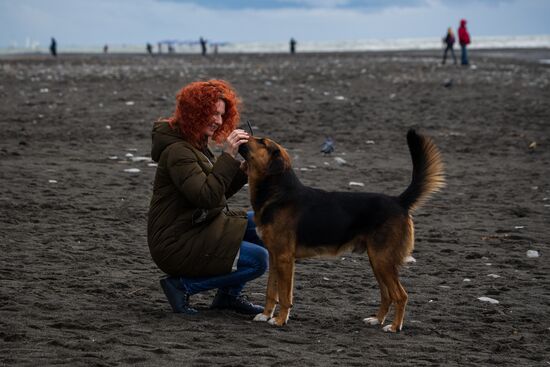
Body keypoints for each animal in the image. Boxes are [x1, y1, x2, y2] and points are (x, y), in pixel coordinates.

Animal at [239, 130, 446, 334]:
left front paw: (280, 320)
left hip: (383, 261)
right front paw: (266, 315)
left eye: (262, 142)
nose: (242, 134)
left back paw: (395, 326)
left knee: (400, 295)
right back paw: (376, 320)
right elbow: (271, 291)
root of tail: (399, 201)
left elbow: (284, 295)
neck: (278, 193)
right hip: (378, 261)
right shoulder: (274, 257)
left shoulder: (284, 258)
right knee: (387, 295)